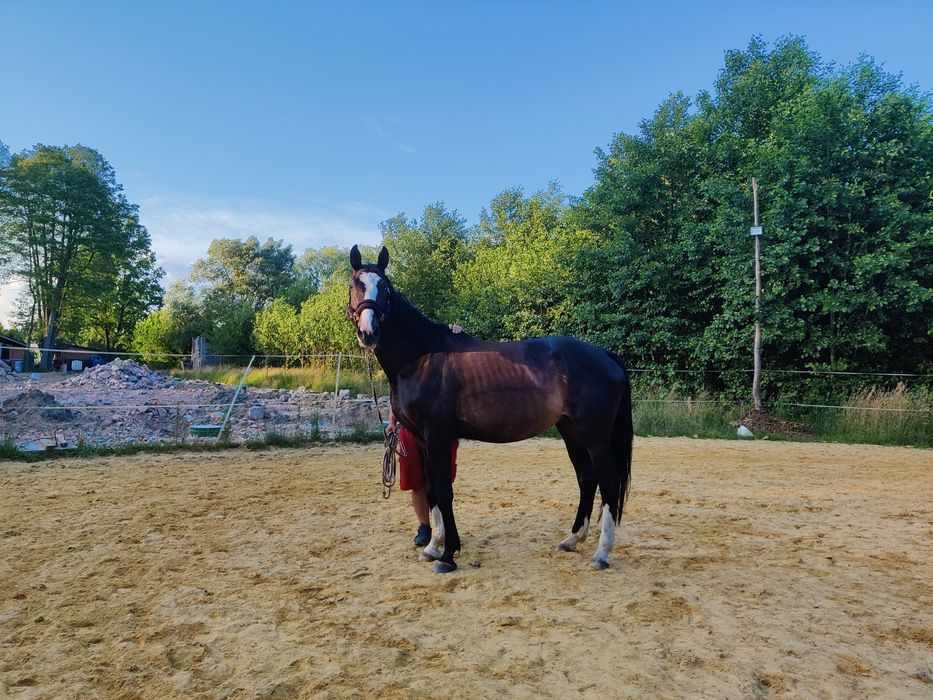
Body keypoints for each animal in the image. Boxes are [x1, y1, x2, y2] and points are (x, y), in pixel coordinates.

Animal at [348, 246, 632, 576]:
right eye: (354, 285)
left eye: (386, 289)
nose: (368, 332)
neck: (422, 358)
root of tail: (605, 355)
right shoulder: (421, 439)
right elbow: (431, 490)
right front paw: (433, 547)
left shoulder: (437, 435)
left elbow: (444, 491)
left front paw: (448, 555)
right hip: (571, 431)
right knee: (587, 479)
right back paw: (572, 540)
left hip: (595, 436)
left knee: (608, 482)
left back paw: (601, 553)